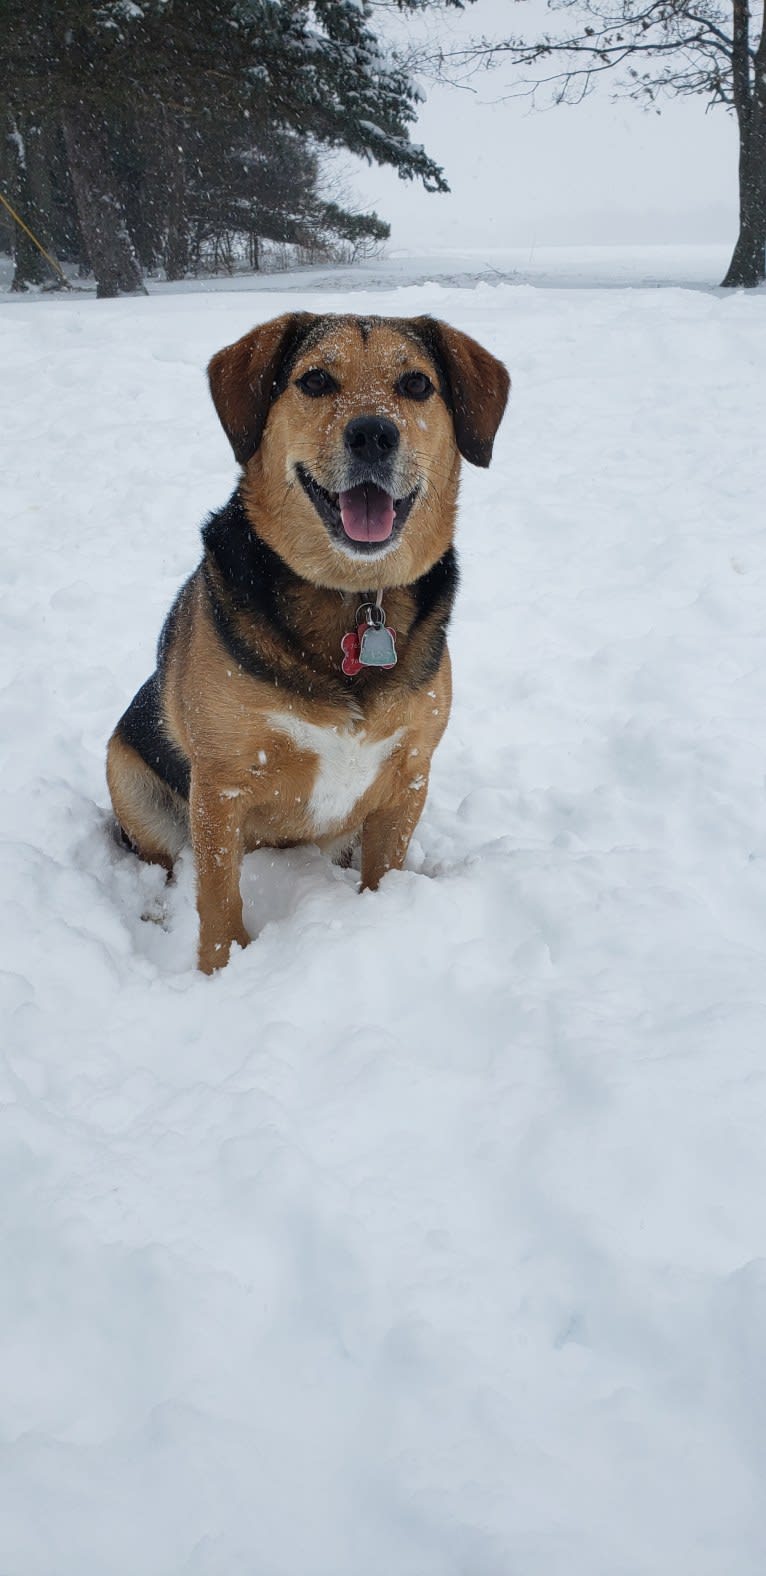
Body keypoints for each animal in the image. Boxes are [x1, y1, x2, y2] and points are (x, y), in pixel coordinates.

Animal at [106, 310, 507, 970]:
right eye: (315, 380)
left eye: (417, 384)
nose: (372, 434)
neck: (356, 597)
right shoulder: (221, 783)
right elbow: (218, 897)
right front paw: (221, 972)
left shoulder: (410, 773)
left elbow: (384, 869)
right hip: (127, 773)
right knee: (163, 865)